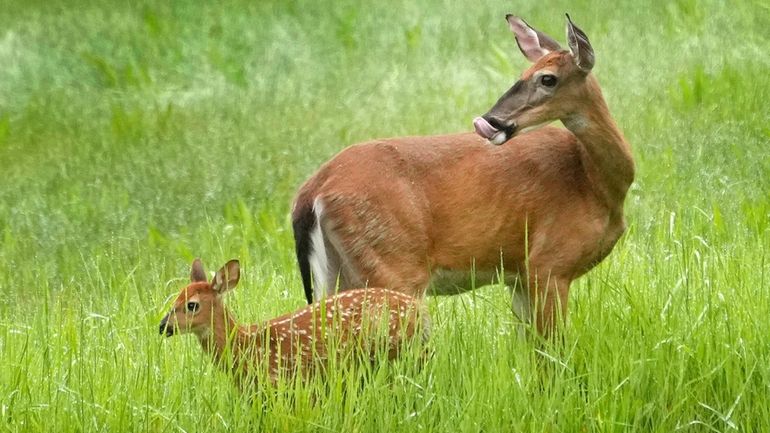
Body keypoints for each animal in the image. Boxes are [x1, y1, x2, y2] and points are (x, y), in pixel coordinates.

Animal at [292, 15, 632, 336]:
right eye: (522, 76)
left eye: (547, 78)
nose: (490, 121)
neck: (595, 183)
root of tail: (311, 192)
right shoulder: (548, 264)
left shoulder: (519, 276)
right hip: (393, 267)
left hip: (337, 275)